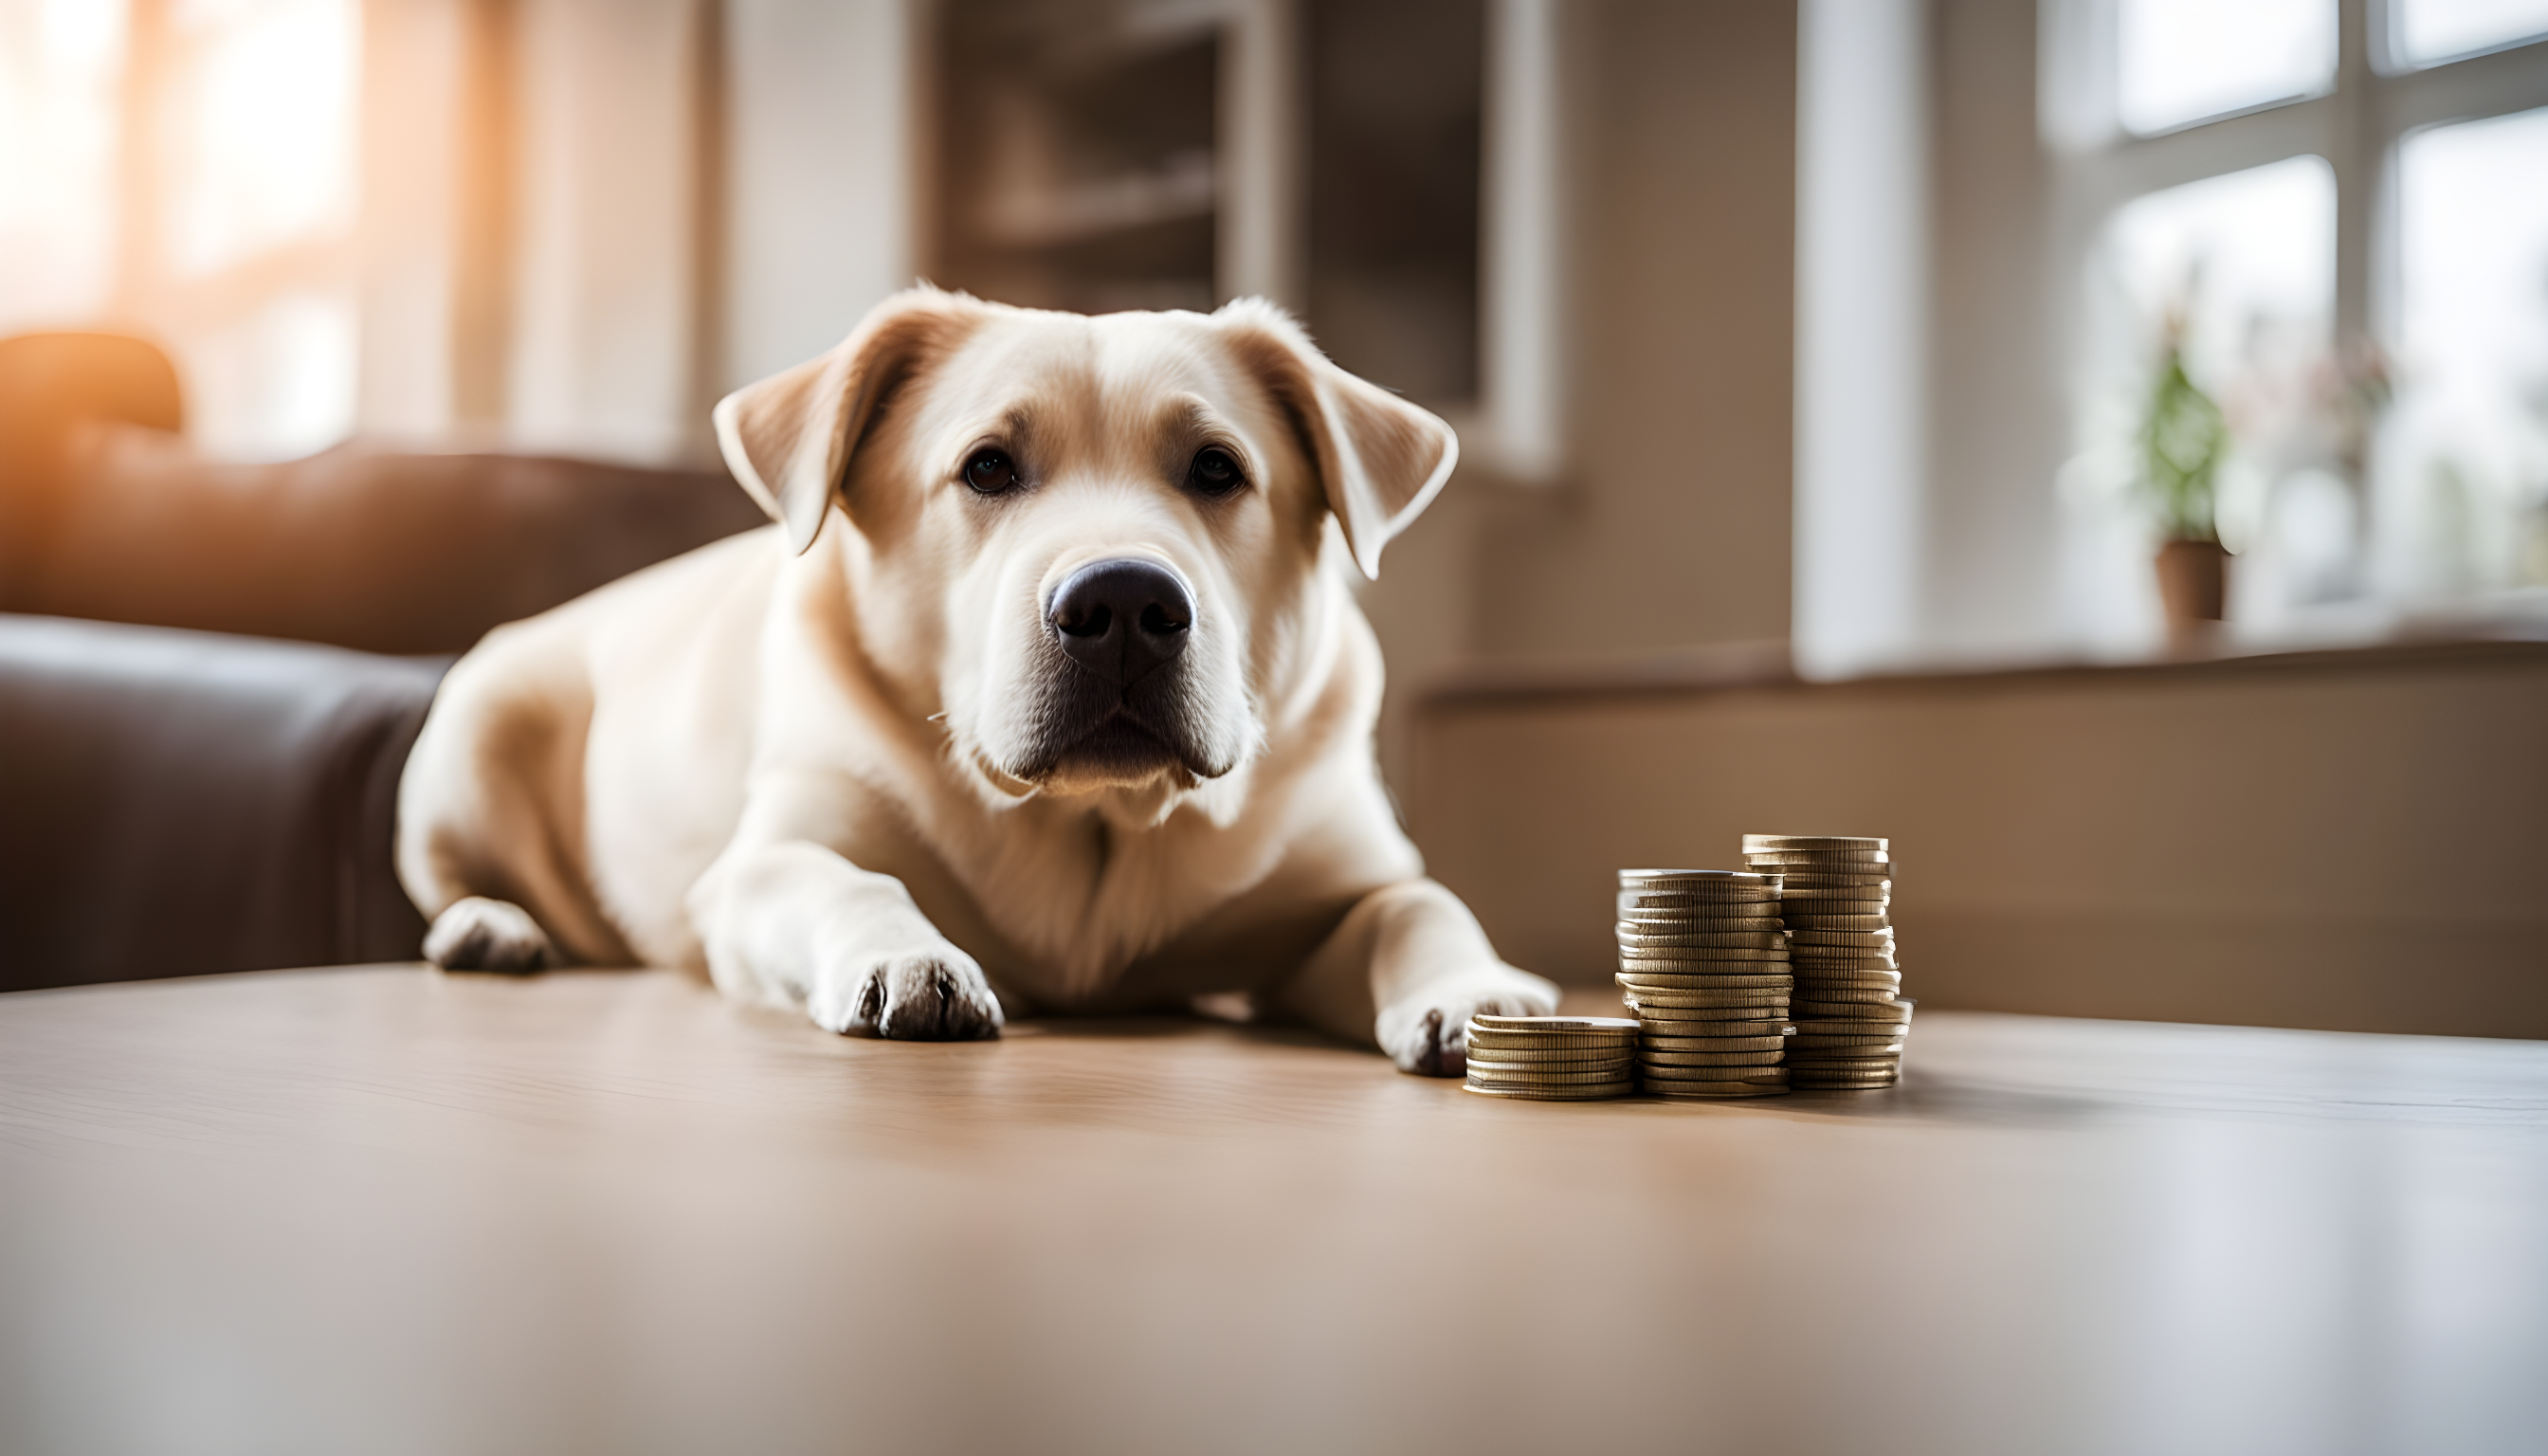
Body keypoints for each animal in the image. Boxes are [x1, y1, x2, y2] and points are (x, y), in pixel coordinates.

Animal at [394, 290, 1549, 1076]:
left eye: (1217, 469)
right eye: (988, 466)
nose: (1124, 603)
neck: (1096, 824)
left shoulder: (1335, 884)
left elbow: (1419, 903)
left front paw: (1479, 990)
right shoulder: (755, 871)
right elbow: (846, 878)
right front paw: (908, 958)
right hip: (475, 727)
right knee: (453, 876)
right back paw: (490, 927)